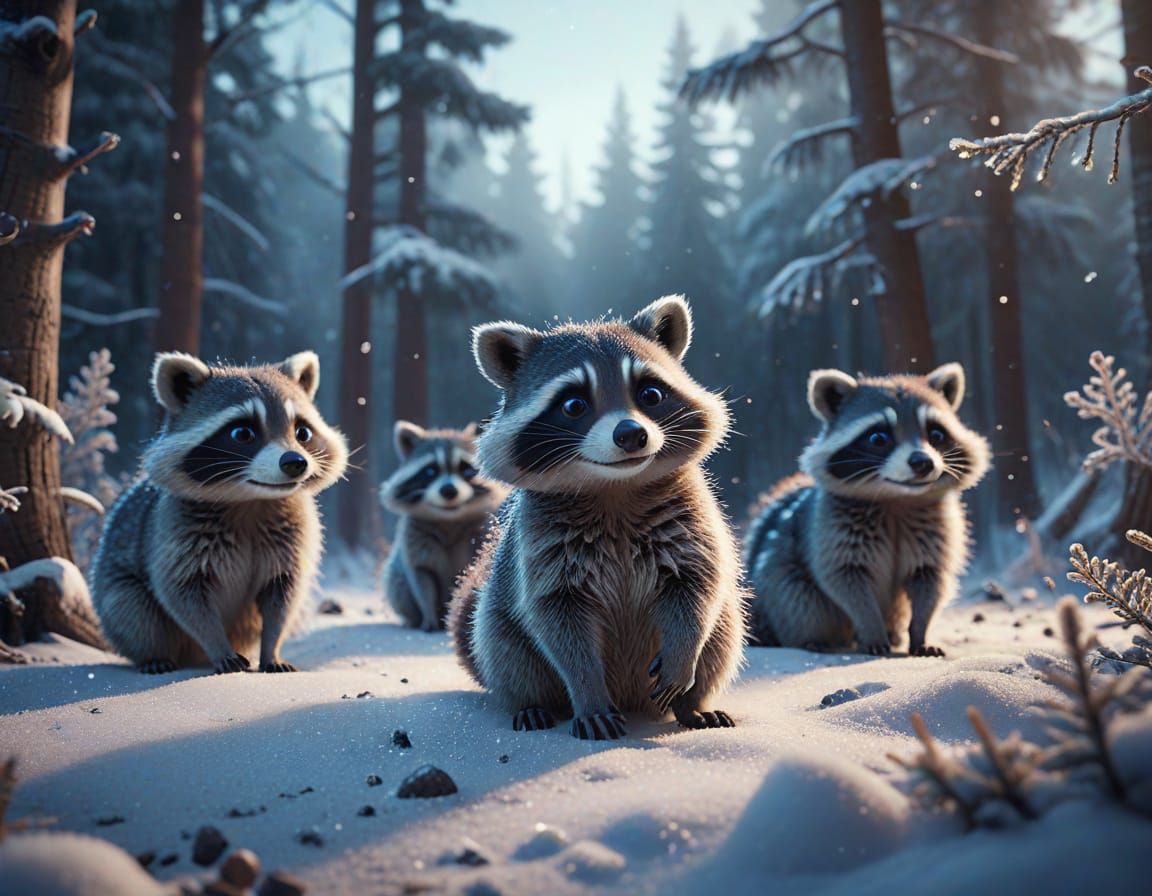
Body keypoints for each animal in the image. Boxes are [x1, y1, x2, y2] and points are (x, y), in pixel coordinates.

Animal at [91, 352, 348, 674]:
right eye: (243, 433)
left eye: (302, 432)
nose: (295, 463)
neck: (251, 500)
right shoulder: (173, 530)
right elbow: (182, 595)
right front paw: (217, 645)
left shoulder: (293, 534)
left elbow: (284, 594)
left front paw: (272, 648)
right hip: (115, 584)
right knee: (131, 609)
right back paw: (153, 654)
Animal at [380, 421, 508, 631]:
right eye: (430, 471)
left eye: (466, 470)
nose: (448, 490)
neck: (449, 519)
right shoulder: (413, 535)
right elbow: (422, 577)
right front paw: (429, 615)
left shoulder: (481, 530)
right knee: (396, 580)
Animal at [449, 295, 746, 739]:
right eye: (574, 405)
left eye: (651, 393)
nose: (631, 434)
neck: (614, 489)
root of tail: (633, 700)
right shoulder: (540, 546)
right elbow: (557, 621)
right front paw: (588, 693)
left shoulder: (692, 518)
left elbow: (697, 588)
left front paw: (682, 657)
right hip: (497, 621)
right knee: (503, 647)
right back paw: (532, 704)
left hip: (721, 629)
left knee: (723, 630)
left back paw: (693, 706)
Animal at [744, 364, 989, 657]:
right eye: (878, 437)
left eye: (936, 434)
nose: (923, 462)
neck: (897, 500)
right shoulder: (829, 529)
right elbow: (846, 581)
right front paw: (871, 628)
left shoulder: (937, 528)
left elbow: (930, 579)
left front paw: (921, 632)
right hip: (776, 574)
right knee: (796, 596)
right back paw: (813, 638)